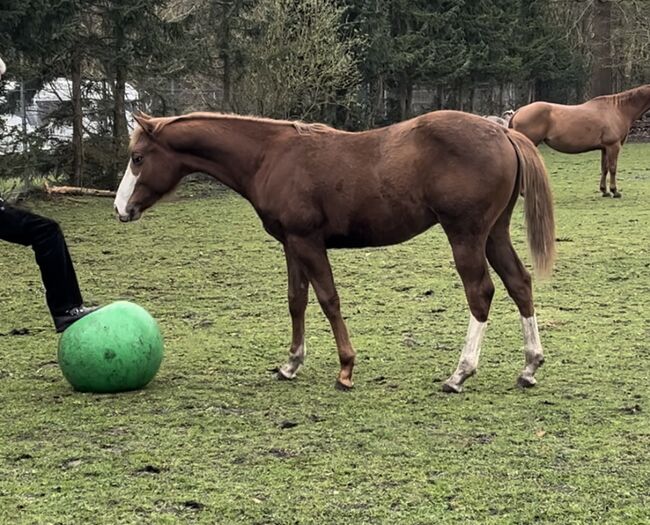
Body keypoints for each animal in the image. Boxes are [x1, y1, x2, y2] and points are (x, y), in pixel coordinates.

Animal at [112, 112, 552, 396]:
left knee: (480, 293)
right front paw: (291, 364)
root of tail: (504, 133)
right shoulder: (291, 243)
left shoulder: (308, 241)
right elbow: (297, 300)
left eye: (137, 158)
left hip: (465, 235)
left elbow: (328, 300)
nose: (120, 209)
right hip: (494, 233)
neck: (271, 156)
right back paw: (529, 366)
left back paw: (460, 374)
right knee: (519, 283)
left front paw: (345, 368)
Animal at [506, 84, 648, 196]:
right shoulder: (613, 146)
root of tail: (519, 111)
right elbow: (613, 167)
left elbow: (605, 168)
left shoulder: (605, 148)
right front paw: (614, 191)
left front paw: (604, 191)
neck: (617, 110)